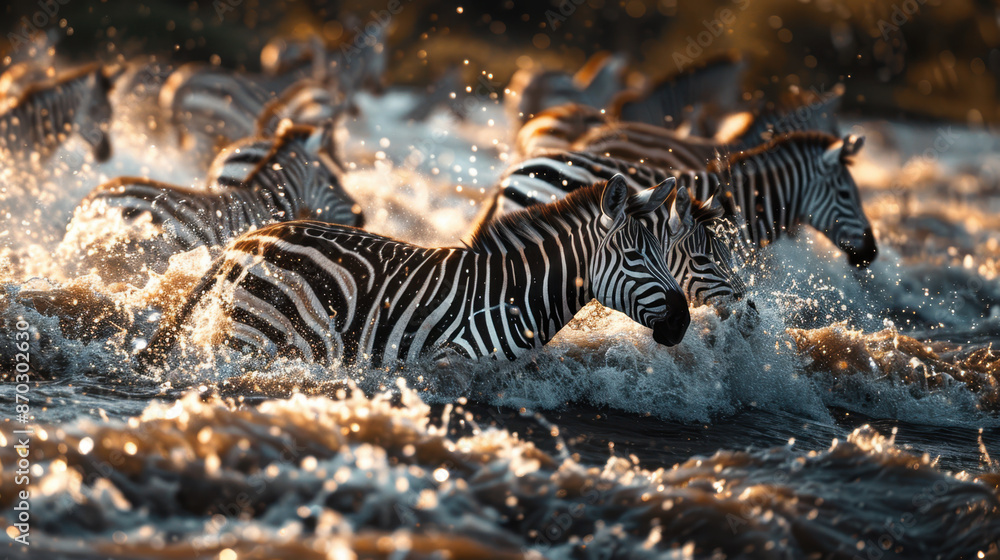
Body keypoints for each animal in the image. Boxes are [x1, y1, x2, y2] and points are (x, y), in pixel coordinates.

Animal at [136, 175, 691, 369]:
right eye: (635, 258)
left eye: (667, 254)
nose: (684, 322)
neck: (515, 290)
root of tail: (250, 238)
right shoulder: (454, 358)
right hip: (255, 334)